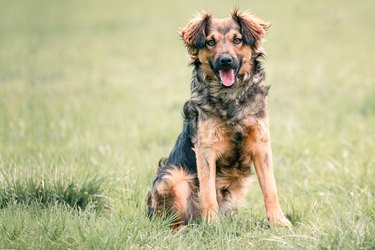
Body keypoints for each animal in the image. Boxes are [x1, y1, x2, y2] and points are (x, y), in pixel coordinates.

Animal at [146, 9, 290, 230]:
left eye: (237, 40)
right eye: (210, 42)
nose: (225, 60)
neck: (230, 95)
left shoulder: (260, 144)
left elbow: (270, 189)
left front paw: (279, 222)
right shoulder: (206, 148)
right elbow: (208, 194)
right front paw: (212, 226)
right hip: (174, 177)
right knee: (169, 222)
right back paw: (185, 228)